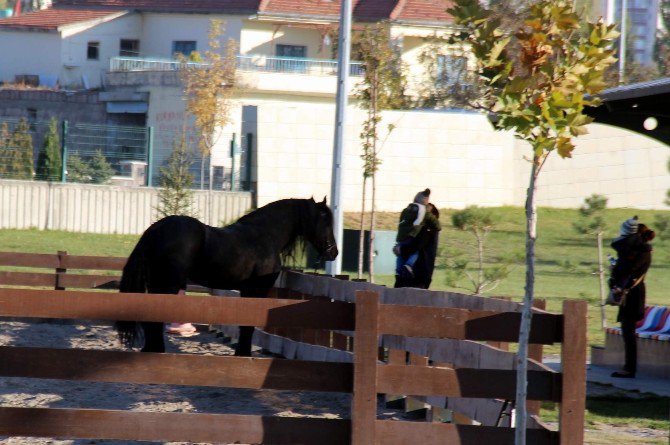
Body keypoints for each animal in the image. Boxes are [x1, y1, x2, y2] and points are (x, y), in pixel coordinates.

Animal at [115, 196, 338, 356]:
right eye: (325, 221)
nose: (333, 252)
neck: (265, 235)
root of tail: (156, 229)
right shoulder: (256, 291)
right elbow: (248, 325)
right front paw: (243, 353)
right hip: (167, 285)